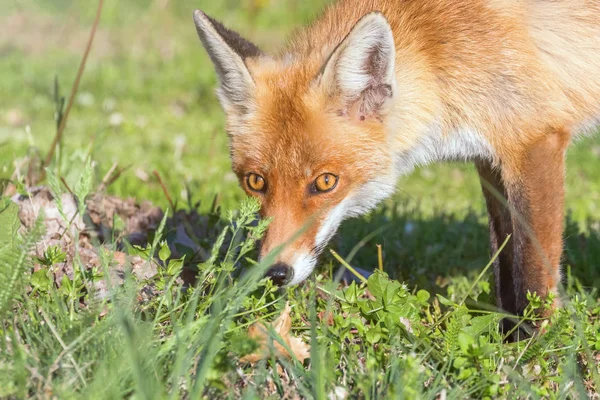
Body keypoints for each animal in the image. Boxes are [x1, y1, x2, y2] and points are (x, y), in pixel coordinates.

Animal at [193, 0, 600, 318]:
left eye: (325, 182)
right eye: (255, 182)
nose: (275, 273)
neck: (438, 52)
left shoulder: (534, 141)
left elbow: (532, 279)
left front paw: (530, 355)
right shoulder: (490, 161)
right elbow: (505, 270)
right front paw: (507, 338)